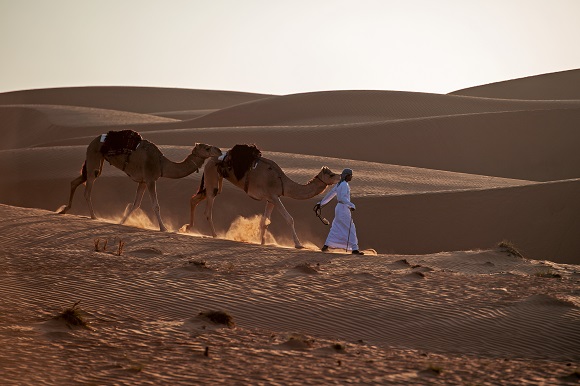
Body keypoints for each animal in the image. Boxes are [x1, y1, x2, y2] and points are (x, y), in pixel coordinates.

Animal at [58, 131, 222, 231]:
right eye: (207, 148)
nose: (219, 150)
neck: (162, 164)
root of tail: (93, 141)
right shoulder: (150, 179)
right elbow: (155, 205)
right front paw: (163, 228)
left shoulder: (142, 182)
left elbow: (135, 204)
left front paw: (121, 221)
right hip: (94, 156)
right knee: (88, 187)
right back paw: (93, 216)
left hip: (95, 159)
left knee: (76, 181)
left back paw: (64, 210)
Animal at [185, 144, 340, 247]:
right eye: (331, 174)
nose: (341, 176)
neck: (282, 182)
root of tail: (209, 161)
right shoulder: (274, 196)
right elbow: (289, 219)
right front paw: (298, 244)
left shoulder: (270, 199)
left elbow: (264, 222)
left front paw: (263, 242)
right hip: (212, 178)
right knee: (207, 210)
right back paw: (214, 235)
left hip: (213, 182)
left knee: (194, 199)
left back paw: (188, 227)